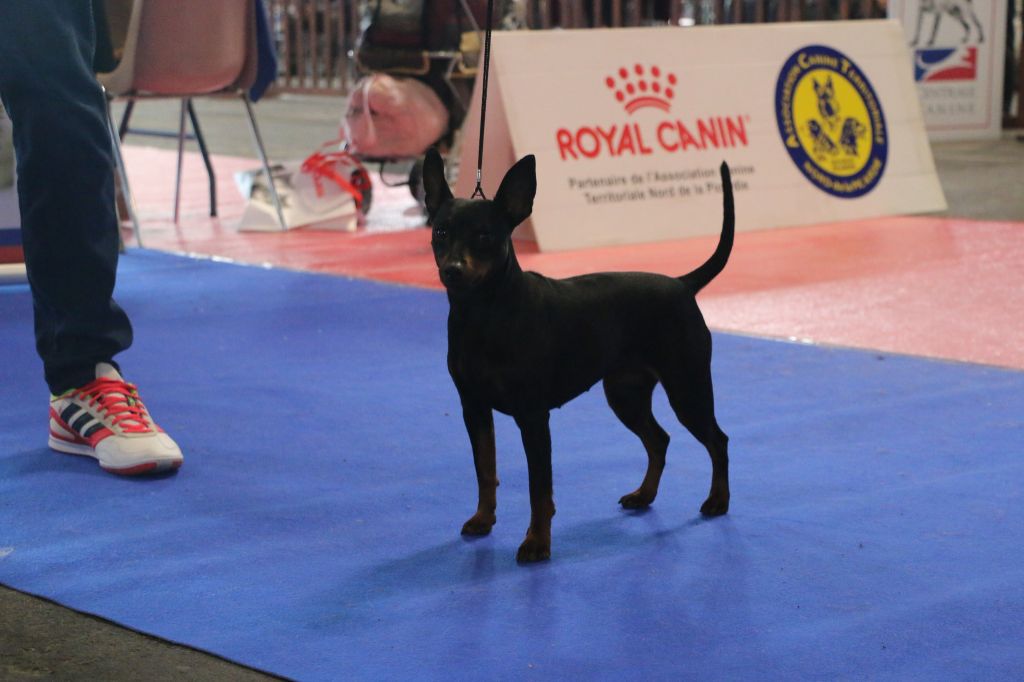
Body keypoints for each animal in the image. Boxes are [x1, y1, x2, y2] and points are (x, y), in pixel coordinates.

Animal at [422, 149, 734, 562]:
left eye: (485, 235)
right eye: (441, 233)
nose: (453, 270)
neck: (484, 314)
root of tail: (683, 284)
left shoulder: (533, 417)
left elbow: (539, 488)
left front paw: (537, 543)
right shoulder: (473, 408)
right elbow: (485, 470)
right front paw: (483, 519)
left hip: (688, 387)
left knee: (717, 440)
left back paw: (718, 501)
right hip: (625, 394)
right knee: (659, 440)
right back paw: (644, 495)